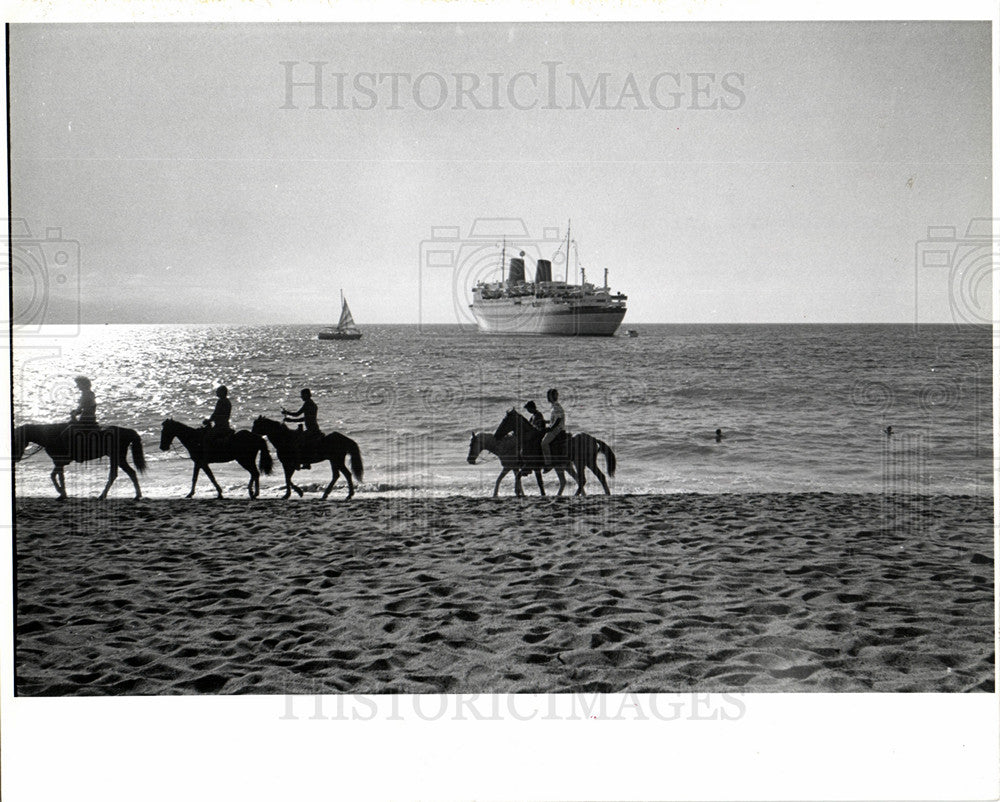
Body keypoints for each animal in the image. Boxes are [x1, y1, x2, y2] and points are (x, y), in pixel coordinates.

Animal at [12, 422, 146, 496]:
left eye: (18, 438)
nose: (16, 458)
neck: (51, 435)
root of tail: (127, 431)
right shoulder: (59, 463)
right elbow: (59, 476)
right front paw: (63, 493)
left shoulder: (59, 462)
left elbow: (54, 476)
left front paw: (61, 492)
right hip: (116, 458)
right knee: (123, 474)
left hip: (117, 457)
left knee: (123, 474)